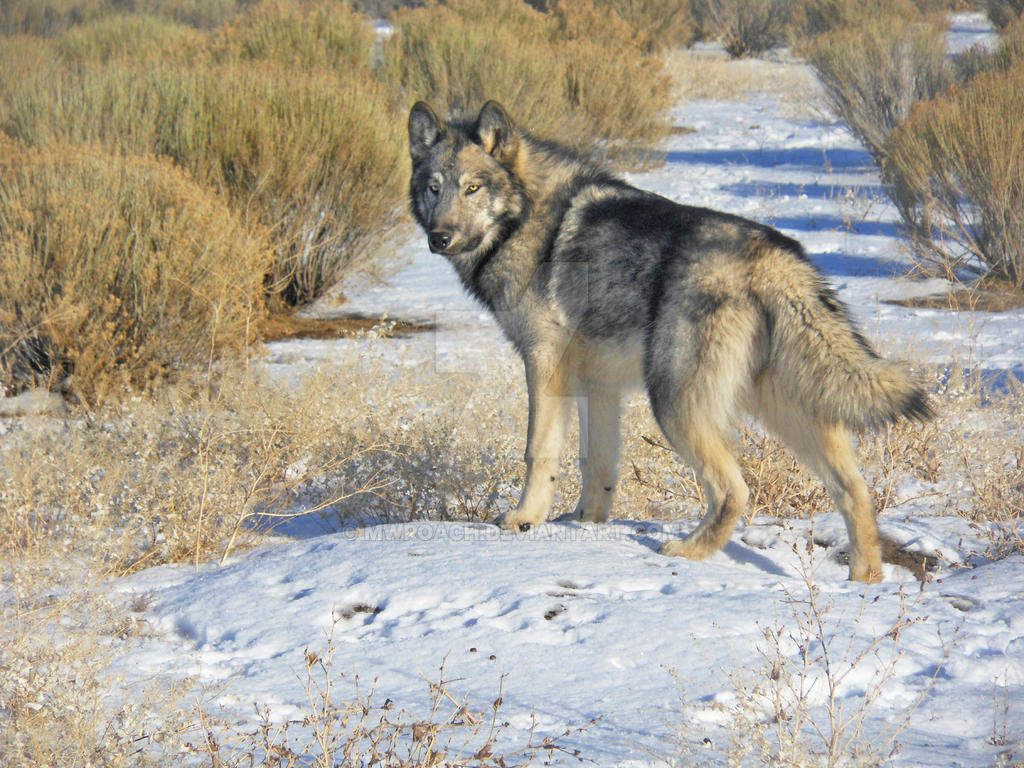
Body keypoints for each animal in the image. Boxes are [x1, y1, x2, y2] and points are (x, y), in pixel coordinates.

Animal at [403, 100, 933, 581]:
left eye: (473, 188)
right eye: (434, 188)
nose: (439, 238)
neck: (527, 220)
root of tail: (772, 255)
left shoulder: (544, 365)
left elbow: (539, 451)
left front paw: (524, 520)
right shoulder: (598, 384)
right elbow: (598, 462)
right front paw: (585, 522)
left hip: (676, 405)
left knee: (735, 490)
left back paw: (689, 551)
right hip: (787, 409)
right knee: (854, 490)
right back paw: (865, 580)